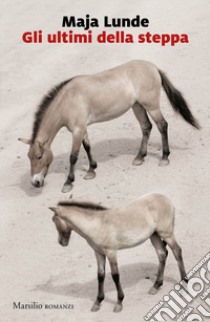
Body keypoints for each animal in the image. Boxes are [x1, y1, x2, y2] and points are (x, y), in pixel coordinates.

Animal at [18, 60, 200, 191]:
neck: (68, 99)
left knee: (162, 125)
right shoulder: (82, 129)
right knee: (146, 127)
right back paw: (140, 157)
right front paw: (91, 170)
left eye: (39, 156)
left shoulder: (77, 131)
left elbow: (73, 156)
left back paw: (164, 158)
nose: (35, 182)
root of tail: (153, 67)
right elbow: (88, 147)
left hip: (152, 106)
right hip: (137, 106)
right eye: (28, 157)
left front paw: (68, 182)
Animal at [49, 194, 187, 312]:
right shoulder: (98, 253)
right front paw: (98, 302)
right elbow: (100, 275)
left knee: (177, 252)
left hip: (166, 233)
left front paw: (119, 302)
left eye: (54, 220)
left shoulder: (111, 252)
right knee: (162, 254)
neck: (98, 225)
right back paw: (156, 285)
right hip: (154, 235)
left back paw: (184, 284)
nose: (61, 242)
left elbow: (115, 276)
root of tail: (165, 198)